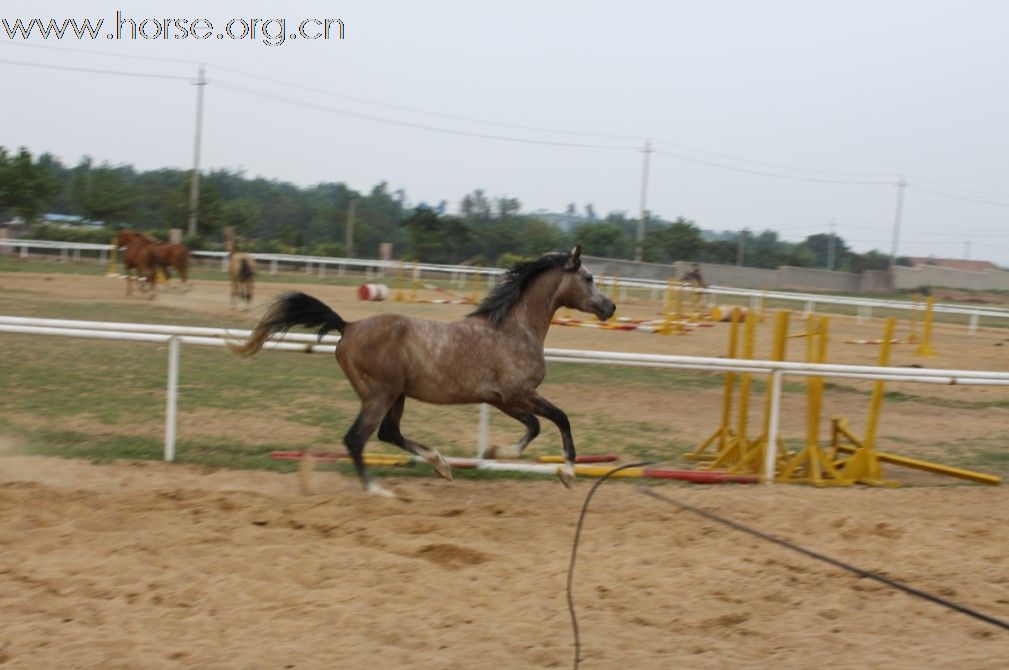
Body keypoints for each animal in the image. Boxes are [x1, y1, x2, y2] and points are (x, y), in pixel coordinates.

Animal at [231, 246, 613, 496]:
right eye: (589, 277)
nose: (610, 307)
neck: (514, 328)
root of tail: (348, 326)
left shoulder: (503, 399)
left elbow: (534, 426)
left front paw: (492, 454)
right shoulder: (520, 393)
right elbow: (559, 418)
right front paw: (567, 472)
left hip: (396, 394)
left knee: (389, 433)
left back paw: (440, 464)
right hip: (380, 394)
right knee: (357, 438)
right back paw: (377, 490)